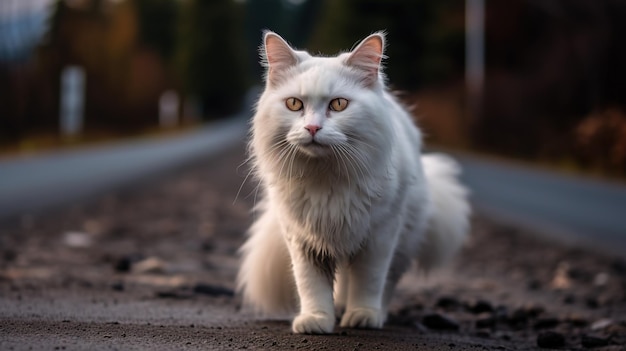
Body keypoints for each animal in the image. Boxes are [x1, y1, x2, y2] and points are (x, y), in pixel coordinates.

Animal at [235, 31, 468, 336]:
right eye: (294, 104)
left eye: (338, 105)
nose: (312, 128)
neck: (325, 179)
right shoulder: (303, 241)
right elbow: (311, 285)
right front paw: (317, 319)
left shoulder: (379, 237)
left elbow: (369, 281)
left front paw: (363, 315)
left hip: (402, 242)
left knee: (385, 283)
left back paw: (373, 312)